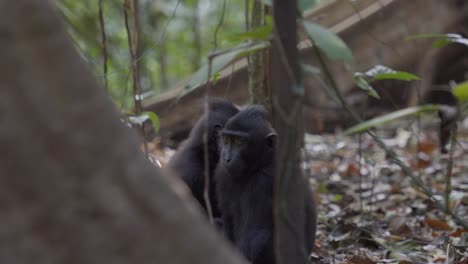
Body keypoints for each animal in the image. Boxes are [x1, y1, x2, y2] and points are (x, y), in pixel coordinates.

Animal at [217, 105, 318, 264]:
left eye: (239, 141)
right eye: (227, 139)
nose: (227, 158)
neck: (261, 164)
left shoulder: (262, 183)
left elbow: (254, 237)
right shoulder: (223, 175)